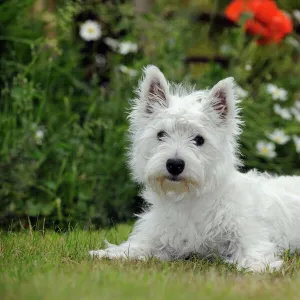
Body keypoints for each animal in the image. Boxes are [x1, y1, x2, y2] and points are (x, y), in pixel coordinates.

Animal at [90, 65, 300, 272]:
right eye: (161, 134)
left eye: (199, 139)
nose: (174, 165)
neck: (189, 199)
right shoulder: (158, 235)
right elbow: (136, 246)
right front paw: (107, 253)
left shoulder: (249, 234)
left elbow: (252, 252)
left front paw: (257, 266)